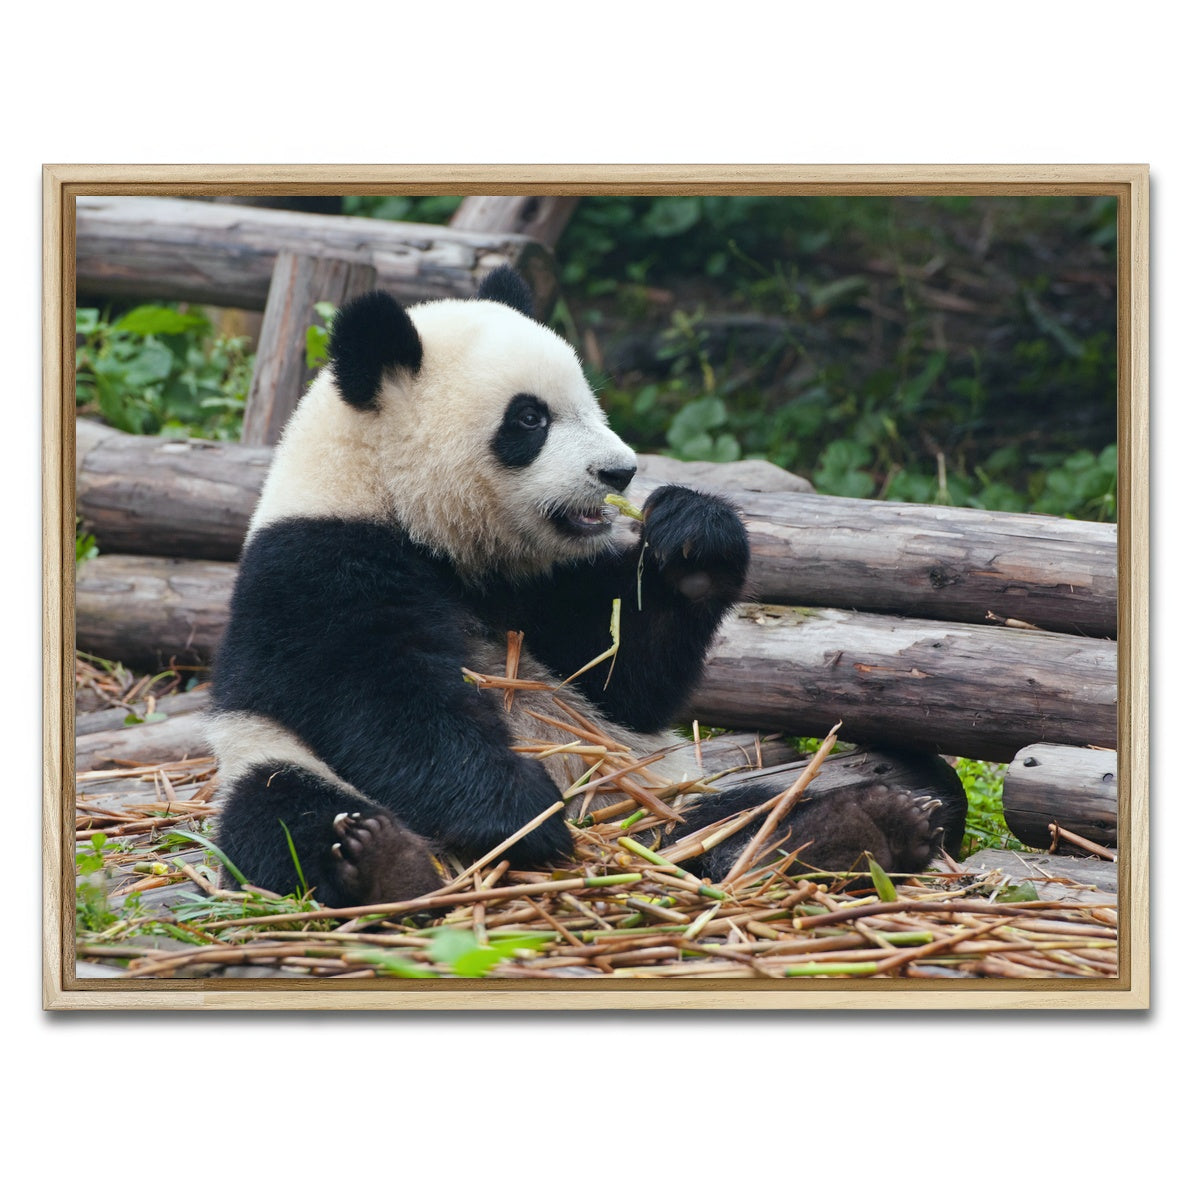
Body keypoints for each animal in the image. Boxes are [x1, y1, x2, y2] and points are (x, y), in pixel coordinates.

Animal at [207, 266, 962, 907]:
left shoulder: (539, 585)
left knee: (735, 814)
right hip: (268, 759)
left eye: (589, 403)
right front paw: (521, 815)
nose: (619, 472)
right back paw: (383, 864)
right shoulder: (316, 565)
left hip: (648, 792)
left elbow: (621, 674)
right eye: (530, 419)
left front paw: (694, 540)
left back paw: (857, 828)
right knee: (284, 814)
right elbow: (383, 698)